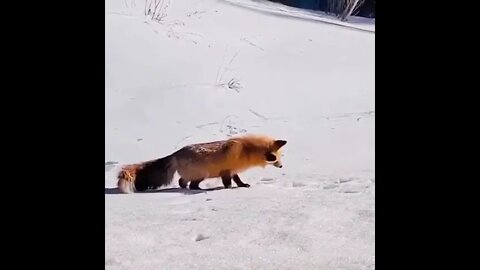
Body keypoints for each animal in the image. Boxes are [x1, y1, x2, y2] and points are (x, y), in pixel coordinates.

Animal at [117, 134, 286, 193]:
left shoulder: (233, 171)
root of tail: (175, 154)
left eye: (280, 158)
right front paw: (229, 189)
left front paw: (243, 185)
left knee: (182, 182)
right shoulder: (226, 171)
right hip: (201, 175)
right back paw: (198, 189)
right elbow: (228, 183)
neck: (246, 150)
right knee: (190, 184)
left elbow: (238, 180)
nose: (281, 166)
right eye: (276, 159)